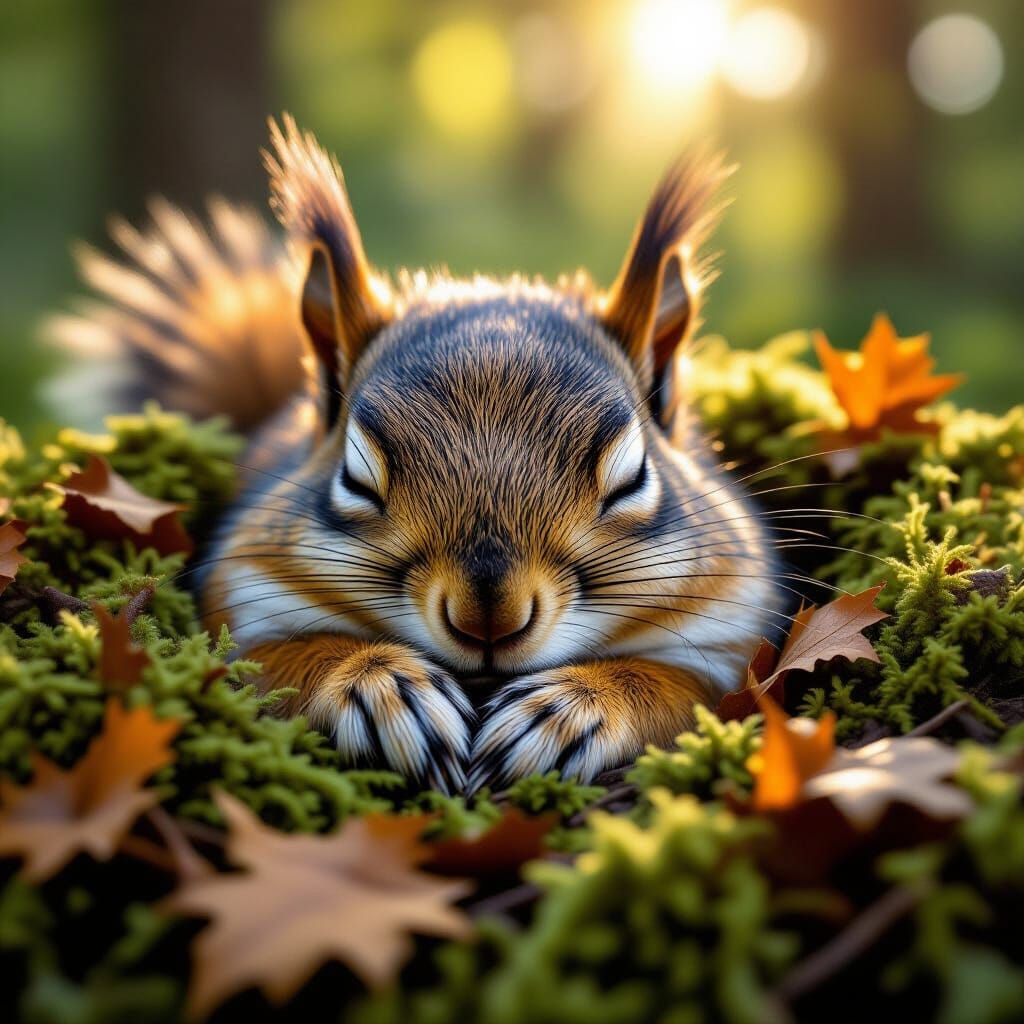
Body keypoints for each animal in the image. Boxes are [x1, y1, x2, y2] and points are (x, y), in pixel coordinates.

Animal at [50, 116, 781, 793]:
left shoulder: (734, 639)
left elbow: (688, 690)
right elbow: (272, 664)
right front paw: (382, 689)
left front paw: (571, 709)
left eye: (631, 477)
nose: (490, 619)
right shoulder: (242, 603)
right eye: (356, 476)